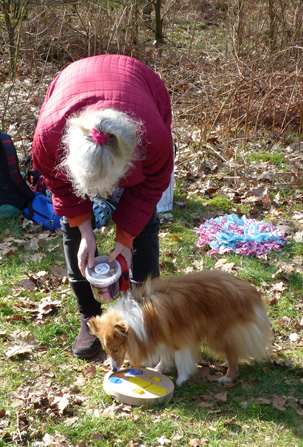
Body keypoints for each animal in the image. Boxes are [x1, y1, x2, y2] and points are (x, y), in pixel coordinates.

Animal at [88, 270, 274, 384]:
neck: (136, 318)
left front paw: (181, 379)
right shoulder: (162, 336)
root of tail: (249, 291)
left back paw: (228, 377)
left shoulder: (179, 337)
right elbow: (164, 357)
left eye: (116, 349)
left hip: (220, 333)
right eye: (106, 350)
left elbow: (180, 359)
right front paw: (157, 369)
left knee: (233, 353)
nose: (113, 369)